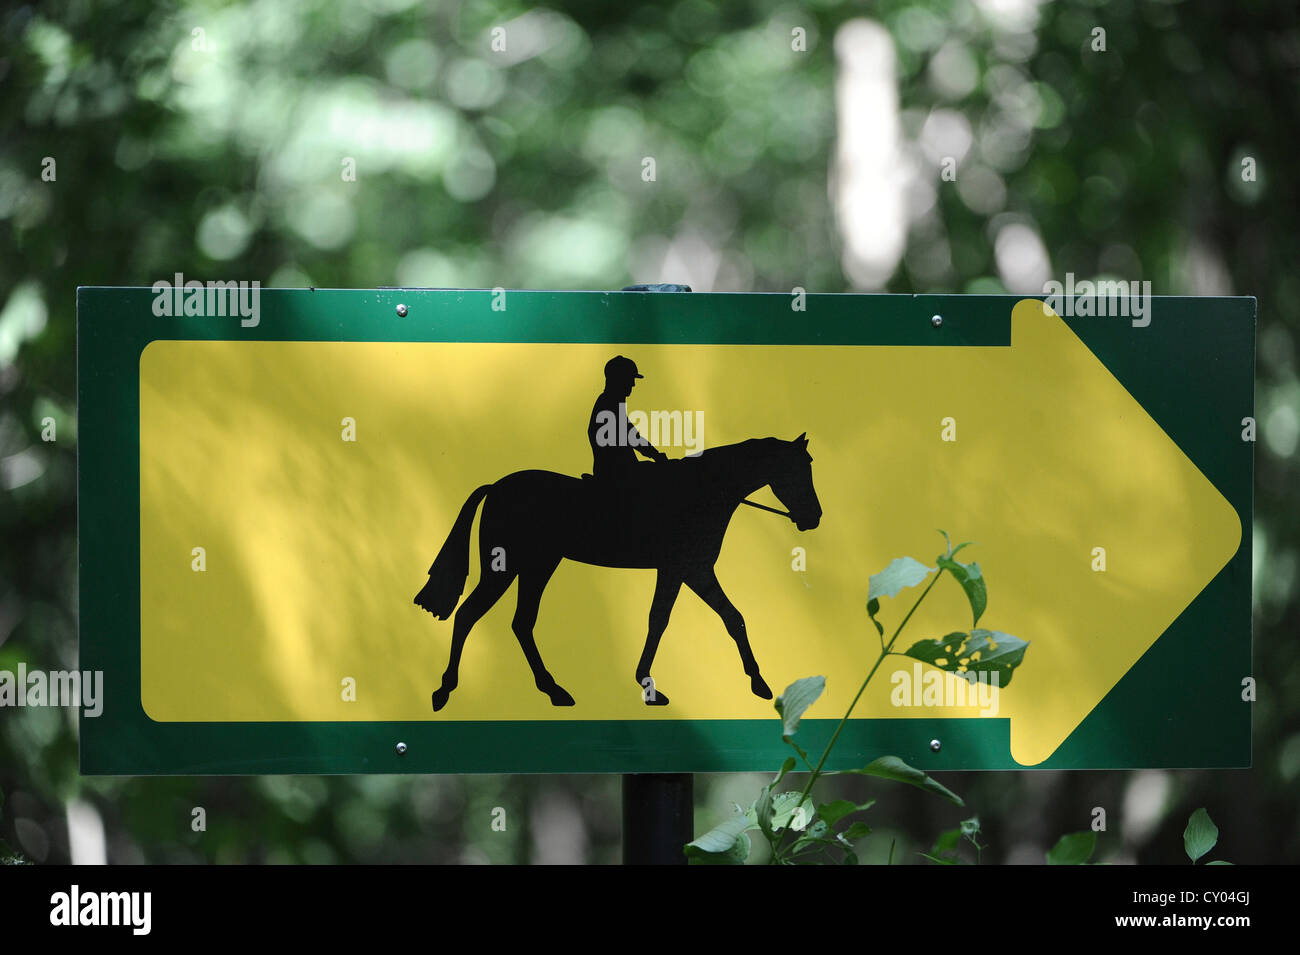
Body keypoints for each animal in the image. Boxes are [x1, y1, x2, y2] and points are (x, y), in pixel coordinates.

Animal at [414, 434, 821, 711]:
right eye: (797, 470)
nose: (814, 518)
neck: (703, 491)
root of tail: (496, 486)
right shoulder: (686, 569)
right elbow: (666, 620)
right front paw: (648, 684)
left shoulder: (691, 570)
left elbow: (726, 618)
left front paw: (759, 683)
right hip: (506, 567)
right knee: (469, 614)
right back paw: (444, 690)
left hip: (538, 565)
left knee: (521, 622)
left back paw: (553, 689)